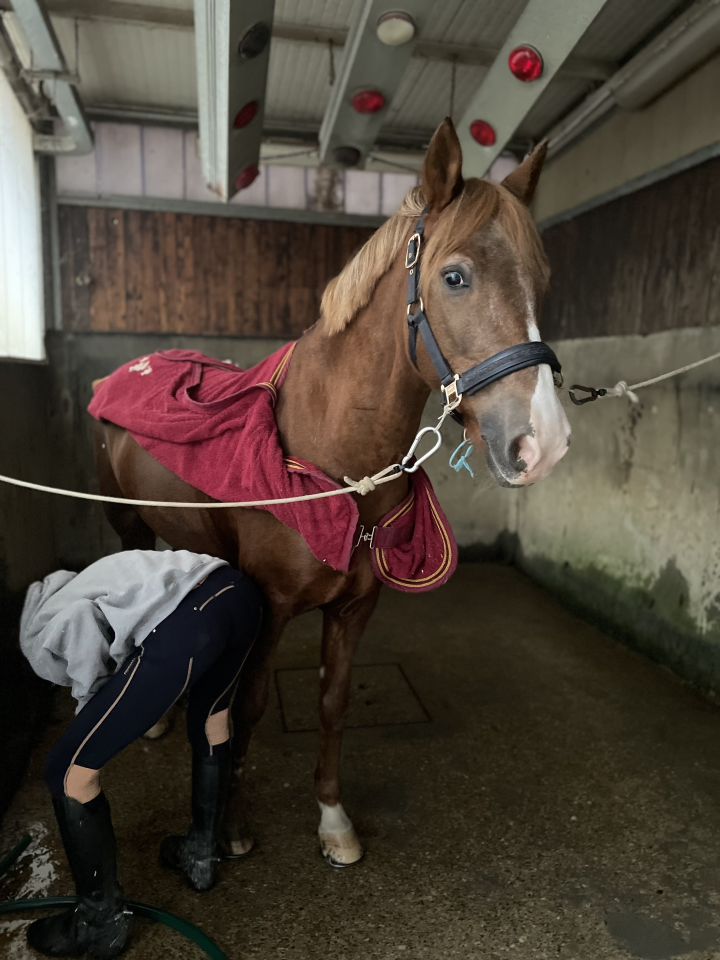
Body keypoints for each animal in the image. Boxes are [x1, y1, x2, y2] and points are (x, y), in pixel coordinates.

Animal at [92, 119, 571, 867]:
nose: (542, 440)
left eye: (541, 281)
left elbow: (333, 701)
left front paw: (332, 819)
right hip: (129, 526)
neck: (332, 459)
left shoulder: (355, 608)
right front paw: (233, 826)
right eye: (454, 277)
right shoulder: (272, 604)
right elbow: (250, 705)